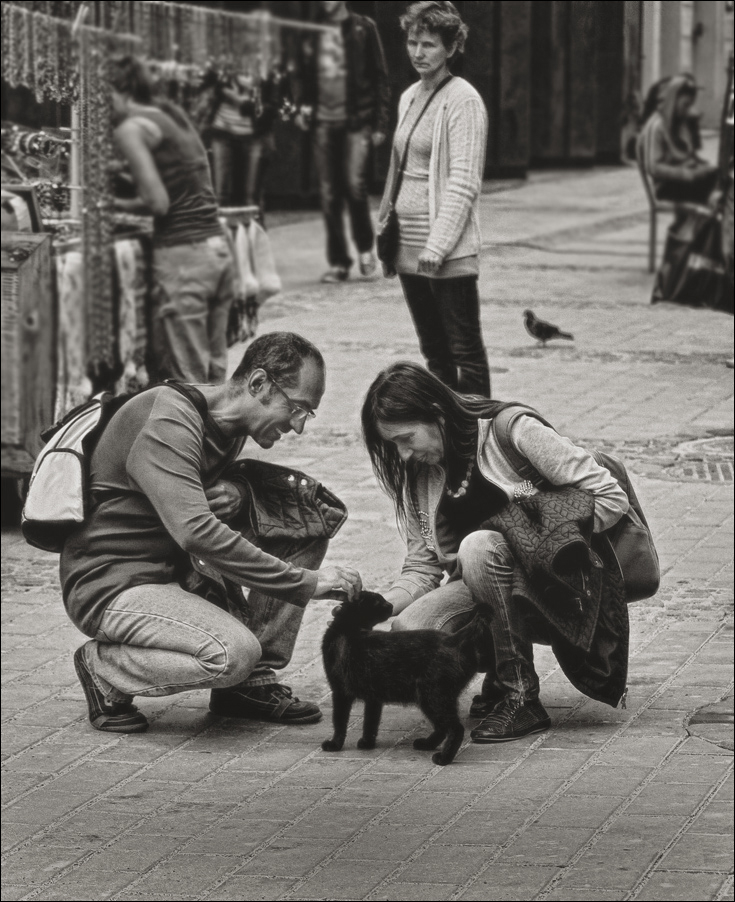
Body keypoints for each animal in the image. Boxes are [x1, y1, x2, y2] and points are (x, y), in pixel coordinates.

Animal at [320, 596, 488, 768]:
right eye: (379, 600)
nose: (391, 605)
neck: (347, 626)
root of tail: (453, 639)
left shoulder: (340, 692)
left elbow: (339, 721)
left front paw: (334, 744)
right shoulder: (373, 697)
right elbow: (370, 722)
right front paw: (367, 743)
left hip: (432, 697)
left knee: (456, 728)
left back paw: (443, 758)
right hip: (434, 698)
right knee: (442, 728)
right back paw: (426, 744)